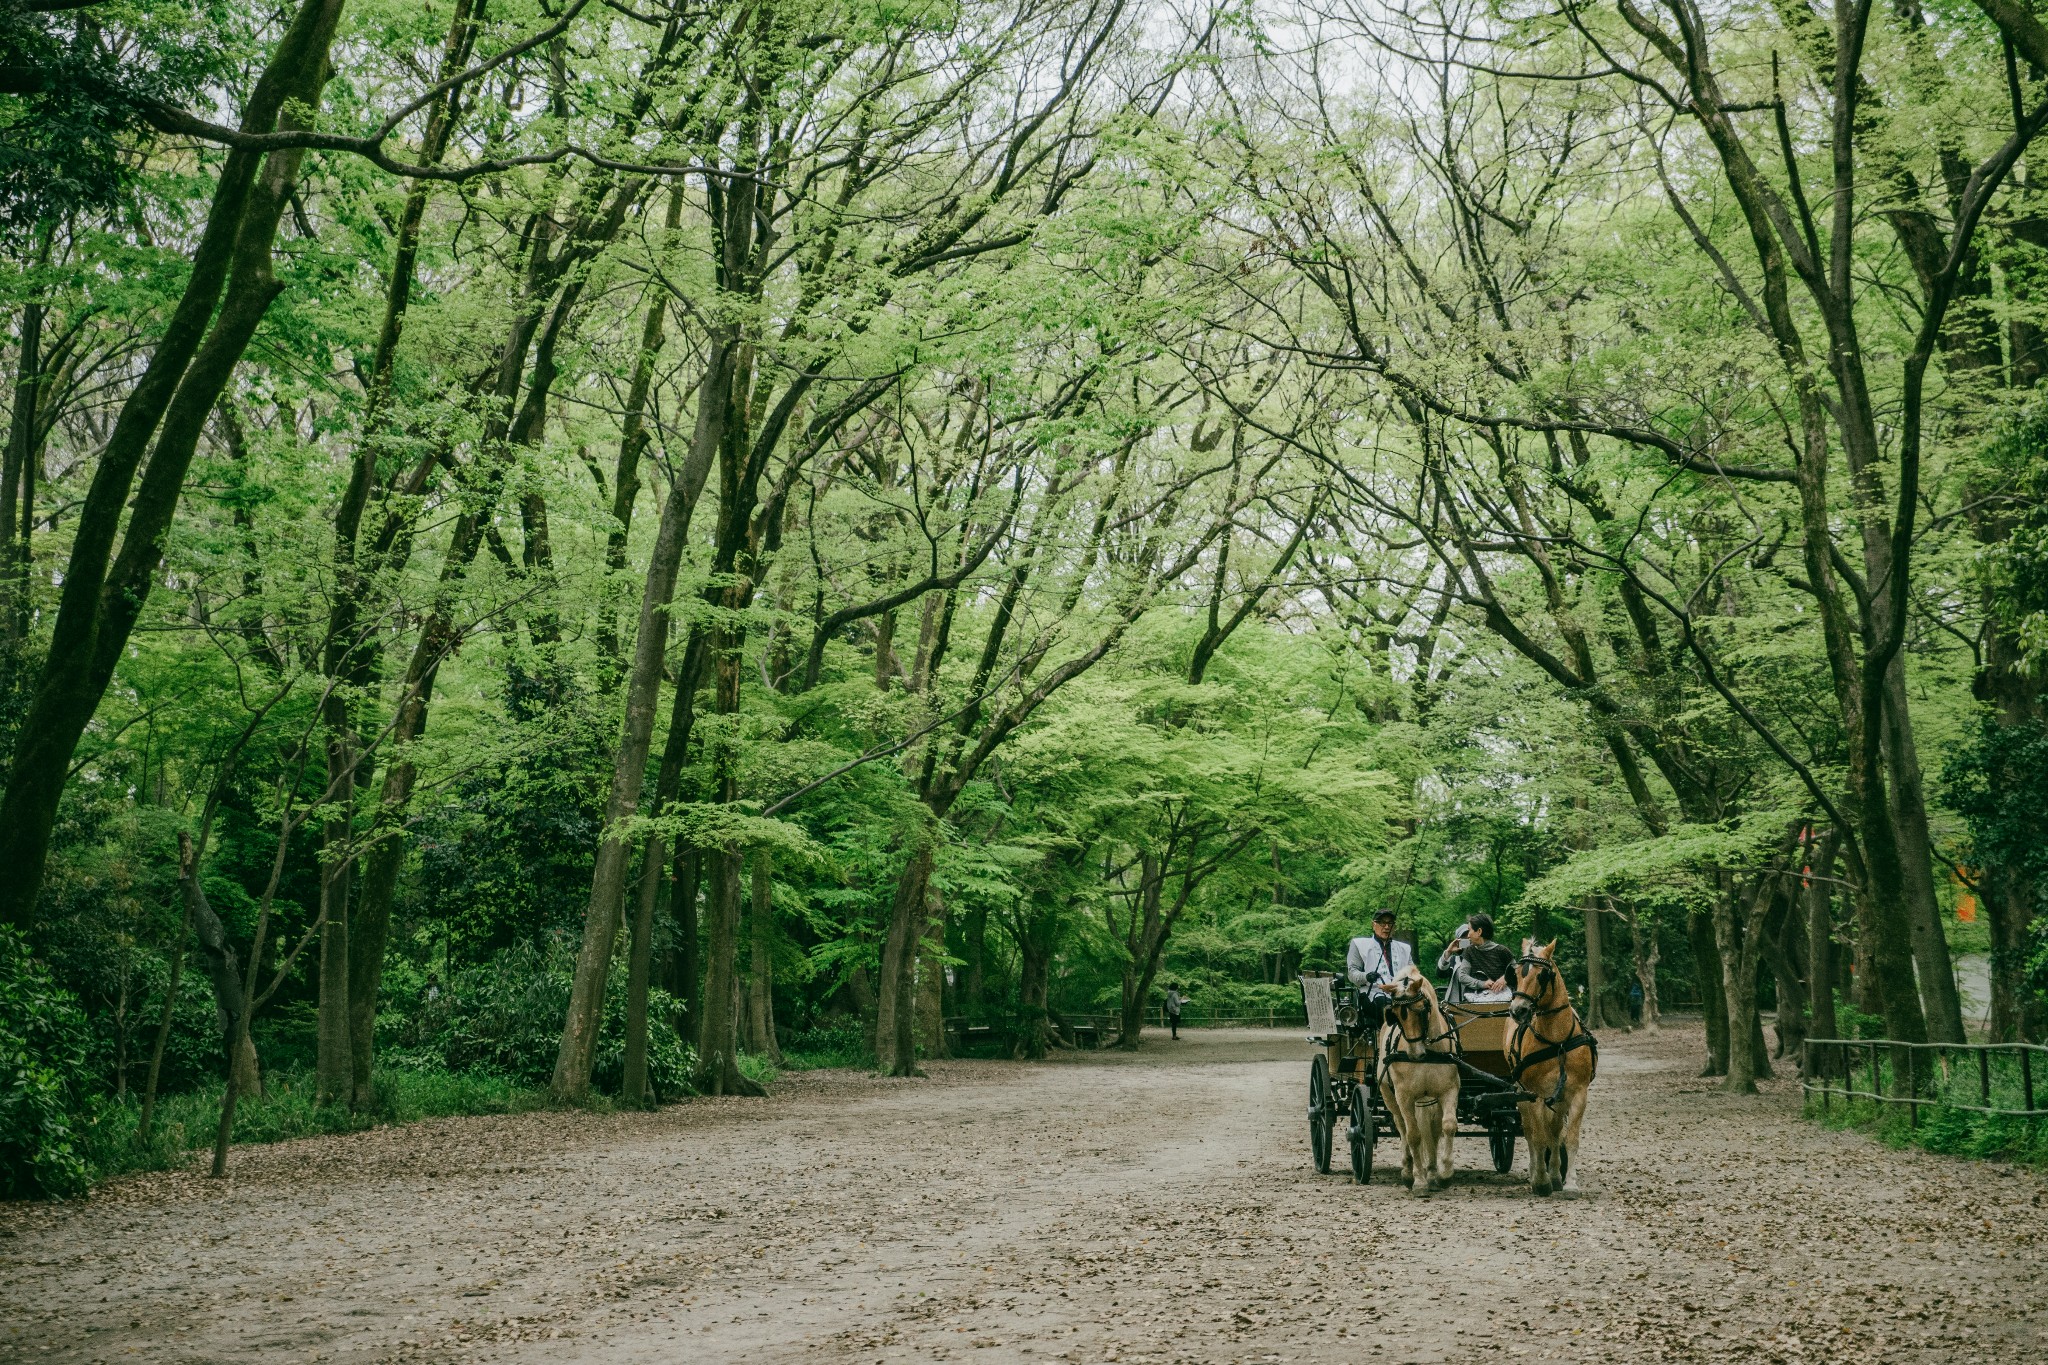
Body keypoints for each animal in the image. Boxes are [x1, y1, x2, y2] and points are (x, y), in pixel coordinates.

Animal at [1376, 961, 1458, 1195]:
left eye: (1422, 1008)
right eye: (1394, 1013)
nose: (1415, 1054)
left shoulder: (1448, 1090)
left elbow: (1448, 1126)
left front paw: (1445, 1174)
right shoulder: (1404, 1096)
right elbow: (1413, 1135)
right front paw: (1419, 1180)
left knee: (1434, 1130)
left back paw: (1431, 1171)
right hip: (1390, 1096)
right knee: (1402, 1127)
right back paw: (1408, 1169)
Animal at [1507, 941, 1597, 1195]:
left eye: (1541, 975)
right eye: (1516, 974)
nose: (1517, 1010)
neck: (1557, 1041)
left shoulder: (1578, 1093)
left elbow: (1569, 1138)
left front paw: (1570, 1183)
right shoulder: (1535, 1094)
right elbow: (1538, 1138)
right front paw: (1540, 1180)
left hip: (1559, 1098)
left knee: (1555, 1132)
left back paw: (1556, 1175)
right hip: (1521, 1094)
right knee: (1531, 1132)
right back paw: (1537, 1173)